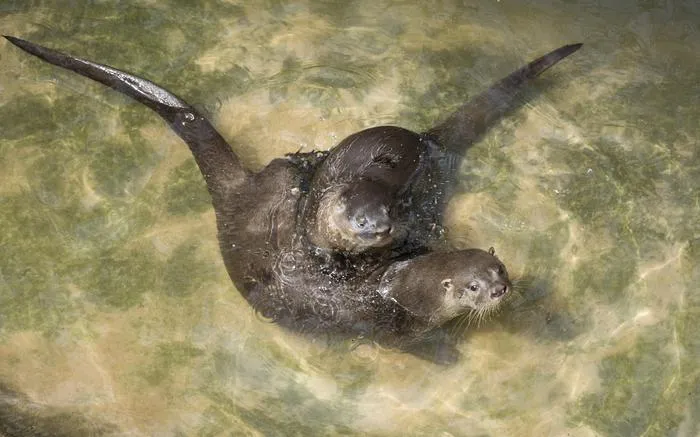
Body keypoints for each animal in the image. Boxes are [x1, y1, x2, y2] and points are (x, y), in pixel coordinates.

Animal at [5, 36, 579, 363]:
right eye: (473, 287)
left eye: (496, 269)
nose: (501, 289)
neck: (405, 287)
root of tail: (239, 198)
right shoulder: (397, 333)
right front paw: (449, 356)